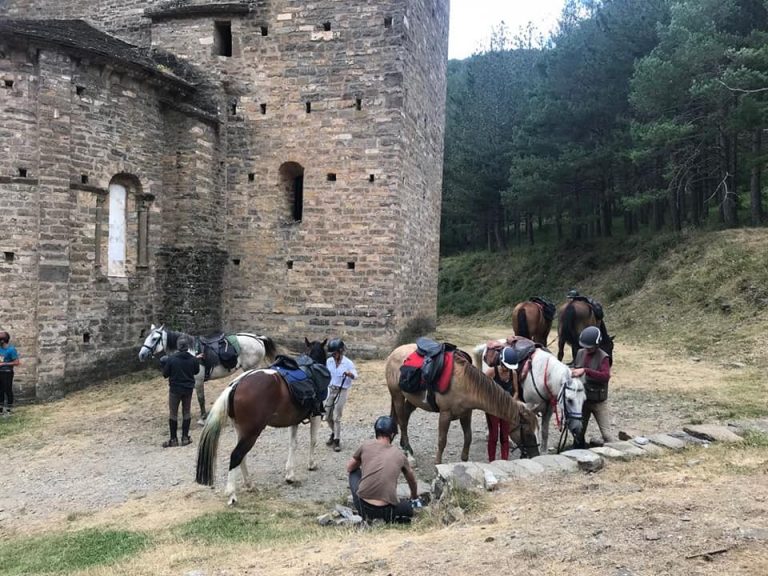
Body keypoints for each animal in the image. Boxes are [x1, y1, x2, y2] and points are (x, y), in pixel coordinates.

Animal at [140, 324, 278, 424]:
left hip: (250, 367)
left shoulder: (198, 381)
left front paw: (203, 418)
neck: (190, 352)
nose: (141, 355)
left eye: (154, 339)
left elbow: (201, 399)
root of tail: (258, 339)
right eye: (145, 337)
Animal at [195, 338, 328, 504]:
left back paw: (249, 484)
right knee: (236, 456)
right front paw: (311, 464)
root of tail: (236, 385)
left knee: (242, 457)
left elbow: (293, 444)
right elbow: (313, 441)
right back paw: (232, 495)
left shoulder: (294, 421)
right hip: (251, 433)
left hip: (242, 431)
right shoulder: (315, 416)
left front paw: (290, 474)